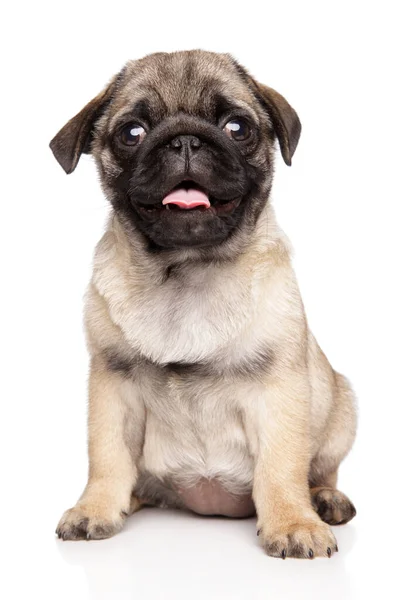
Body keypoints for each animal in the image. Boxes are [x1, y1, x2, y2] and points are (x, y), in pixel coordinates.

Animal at [50, 50, 356, 556]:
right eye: (131, 133)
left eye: (238, 127)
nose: (185, 140)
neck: (188, 271)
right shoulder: (113, 388)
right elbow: (107, 457)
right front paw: (95, 508)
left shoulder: (279, 391)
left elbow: (281, 467)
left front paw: (293, 523)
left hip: (341, 408)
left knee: (321, 470)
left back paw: (324, 500)